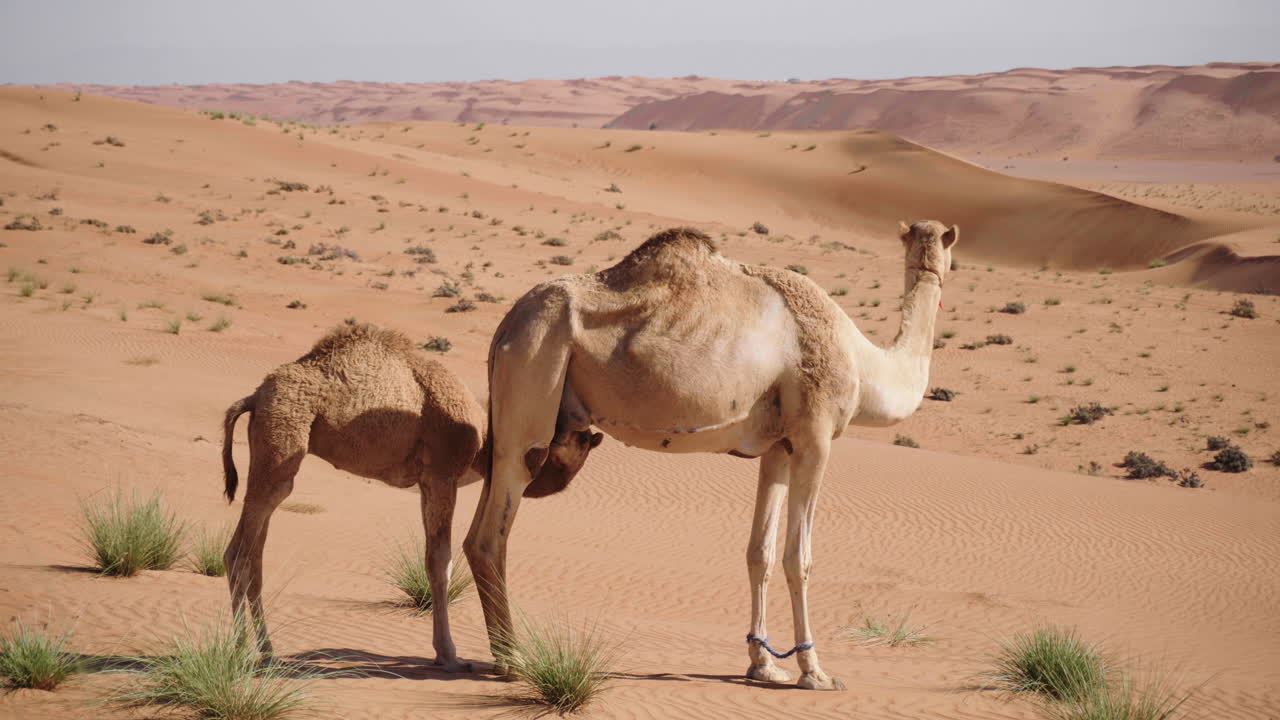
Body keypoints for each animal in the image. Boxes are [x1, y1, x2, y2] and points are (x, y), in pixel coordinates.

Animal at [219, 322, 601, 670]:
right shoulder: (441, 475)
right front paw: (450, 656)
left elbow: (433, 559)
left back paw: (268, 652)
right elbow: (441, 561)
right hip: (282, 438)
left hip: (270, 449)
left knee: (255, 553)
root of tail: (254, 397)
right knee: (238, 552)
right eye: (581, 442)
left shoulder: (425, 483)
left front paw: (444, 651)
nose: (539, 477)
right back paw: (238, 650)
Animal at [465, 221, 955, 690]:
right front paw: (815, 672)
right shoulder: (815, 436)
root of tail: (507, 325)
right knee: (493, 535)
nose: (938, 255)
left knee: (475, 532)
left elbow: (760, 553)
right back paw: (513, 660)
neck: (865, 364)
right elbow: (799, 558)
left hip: (507, 412)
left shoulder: (779, 446)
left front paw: (763, 665)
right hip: (535, 372)